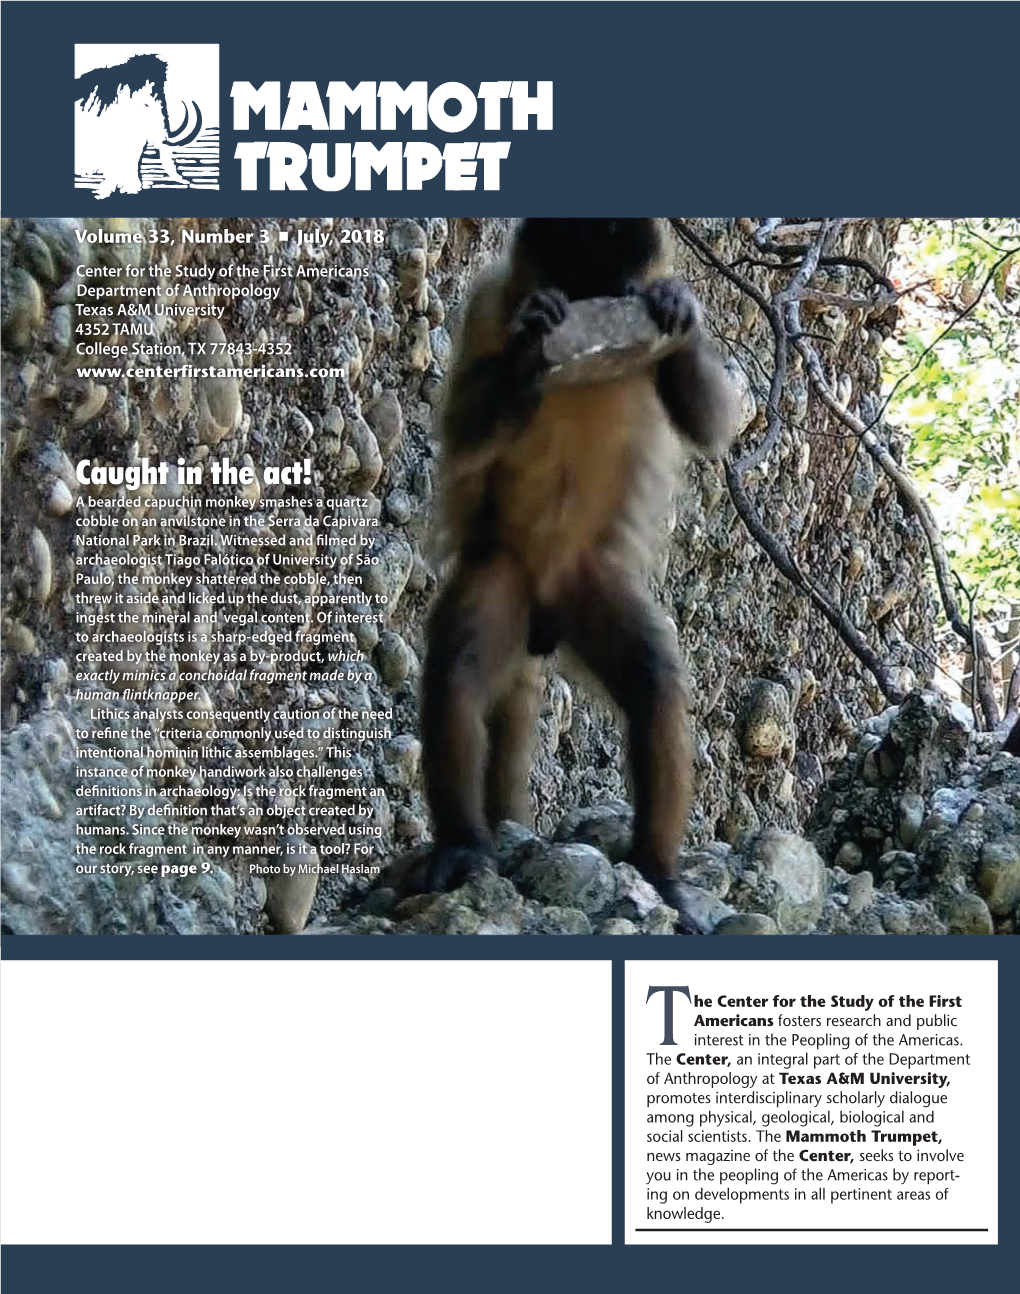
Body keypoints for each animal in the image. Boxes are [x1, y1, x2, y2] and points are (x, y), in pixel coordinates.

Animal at [419, 219, 735, 910]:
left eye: (617, 287)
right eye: (573, 277)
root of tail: (544, 613)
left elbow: (711, 426)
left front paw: (679, 311)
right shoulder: (488, 301)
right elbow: (460, 432)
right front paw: (528, 347)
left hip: (587, 579)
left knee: (652, 684)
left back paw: (657, 868)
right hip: (504, 569)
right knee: (458, 671)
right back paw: (463, 843)